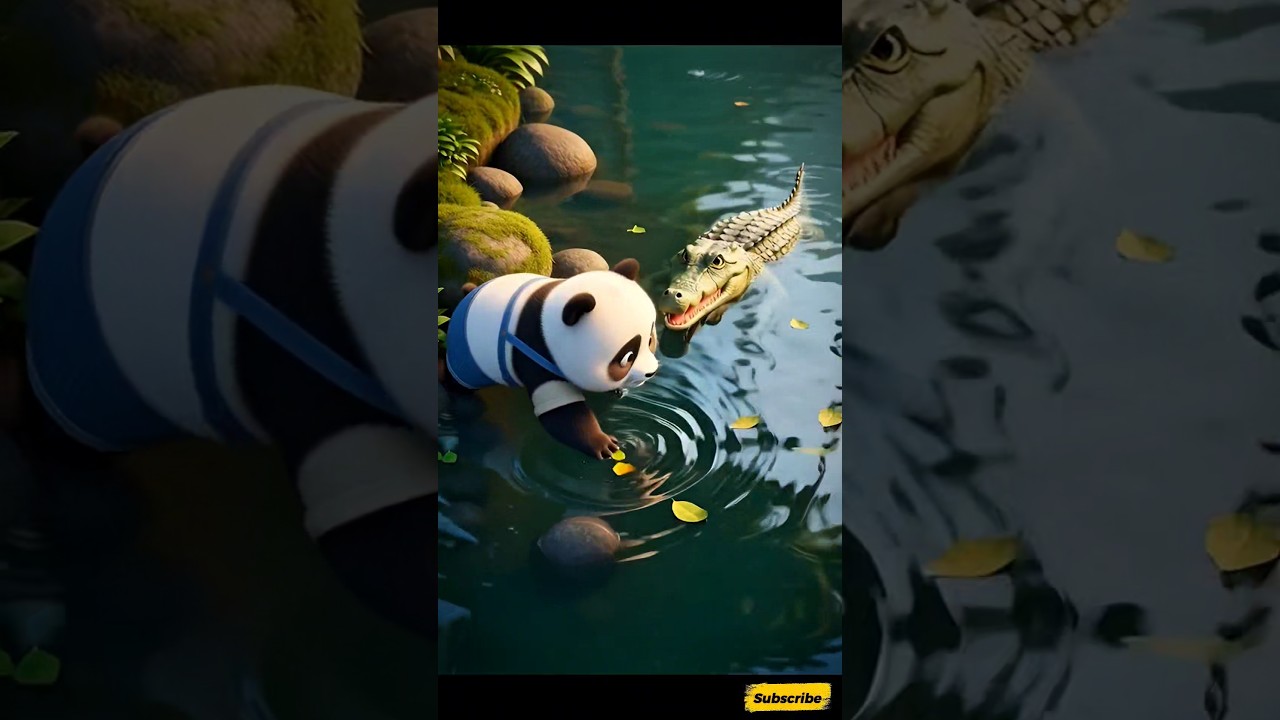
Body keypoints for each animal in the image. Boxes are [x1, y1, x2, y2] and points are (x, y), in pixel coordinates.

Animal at [441, 264, 661, 460]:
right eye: (627, 358)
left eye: (650, 340)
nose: (650, 373)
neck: (547, 317)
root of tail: (469, 292)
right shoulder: (536, 352)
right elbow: (562, 412)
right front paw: (604, 444)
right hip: (467, 354)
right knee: (460, 381)